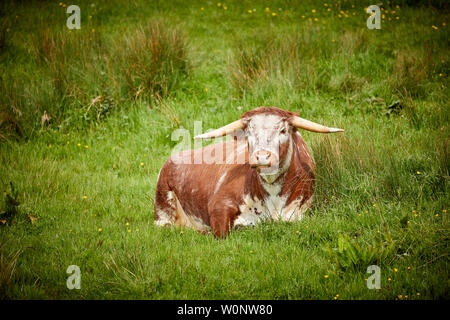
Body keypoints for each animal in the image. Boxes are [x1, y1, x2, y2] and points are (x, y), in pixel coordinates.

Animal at [153, 107, 342, 238]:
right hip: (163, 211)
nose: (262, 157)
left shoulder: (297, 213)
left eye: (282, 130)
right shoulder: (219, 205)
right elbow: (220, 233)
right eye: (250, 132)